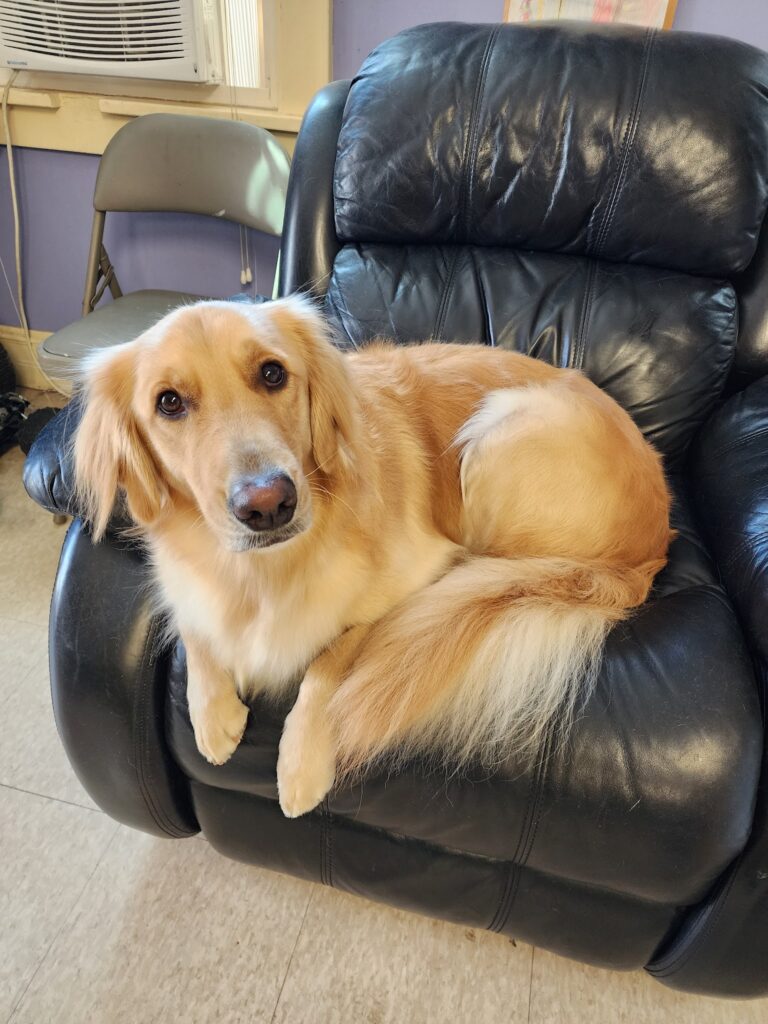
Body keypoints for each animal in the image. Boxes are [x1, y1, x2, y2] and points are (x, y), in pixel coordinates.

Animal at [72, 296, 672, 817]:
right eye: (169, 402)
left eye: (272, 374)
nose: (268, 504)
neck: (262, 574)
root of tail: (649, 552)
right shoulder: (185, 581)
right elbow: (195, 625)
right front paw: (211, 712)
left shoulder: (415, 573)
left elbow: (330, 656)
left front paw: (301, 760)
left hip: (500, 428)